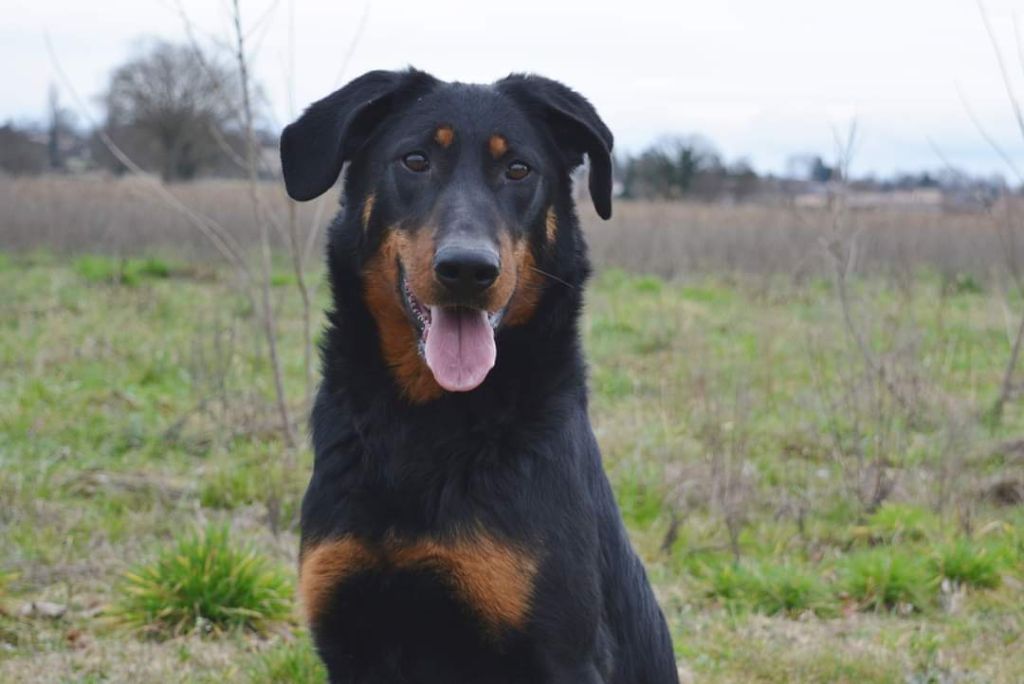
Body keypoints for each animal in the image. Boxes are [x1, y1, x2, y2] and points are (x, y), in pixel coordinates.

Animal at [280, 69, 679, 684]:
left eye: (518, 169)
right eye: (415, 160)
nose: (467, 269)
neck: (425, 421)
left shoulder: (562, 654)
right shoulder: (348, 636)